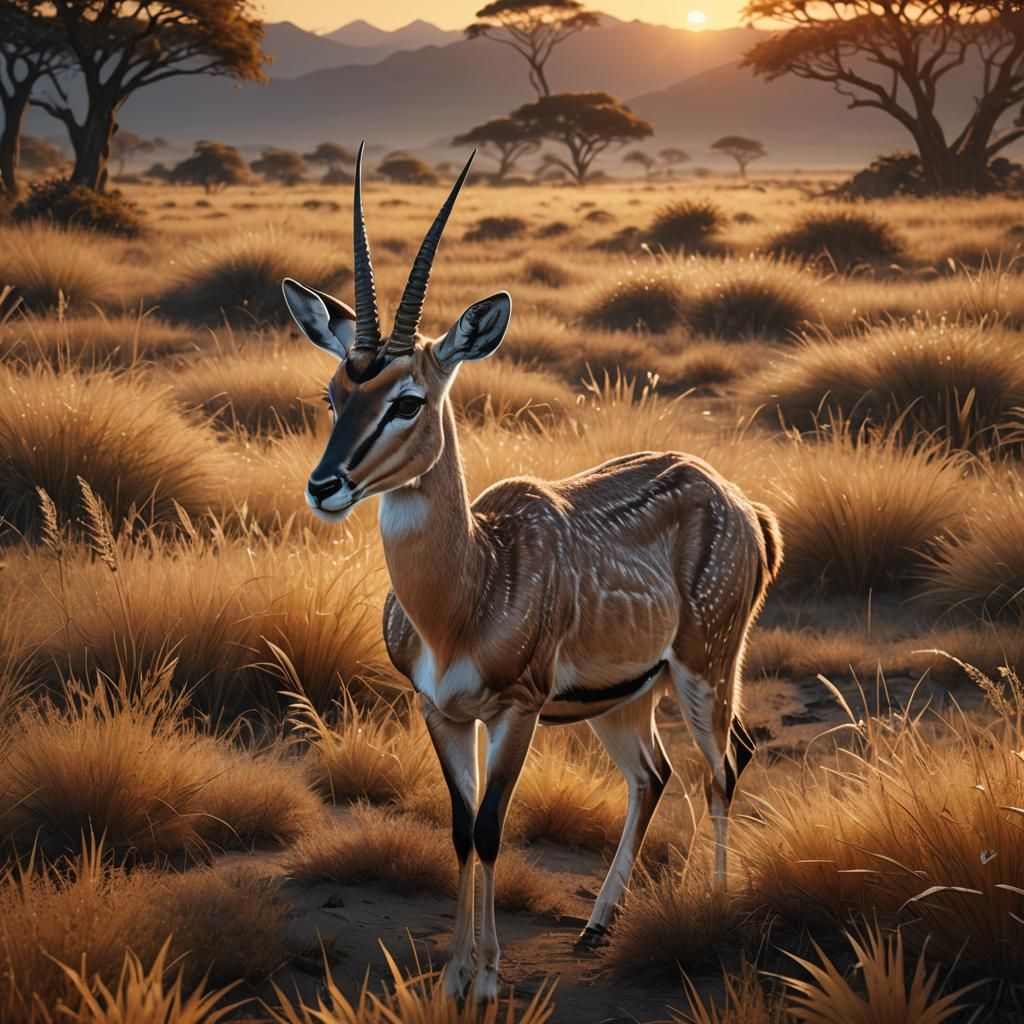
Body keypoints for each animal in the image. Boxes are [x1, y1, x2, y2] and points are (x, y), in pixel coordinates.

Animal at [282, 145, 783, 1004]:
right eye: (336, 391)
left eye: (408, 399)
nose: (326, 486)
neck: (468, 587)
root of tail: (736, 498)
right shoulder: (442, 713)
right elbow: (460, 828)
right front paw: (456, 973)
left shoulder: (515, 710)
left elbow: (491, 827)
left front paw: (485, 980)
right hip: (626, 697)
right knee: (652, 775)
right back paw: (596, 927)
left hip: (705, 669)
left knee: (724, 765)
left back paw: (715, 910)